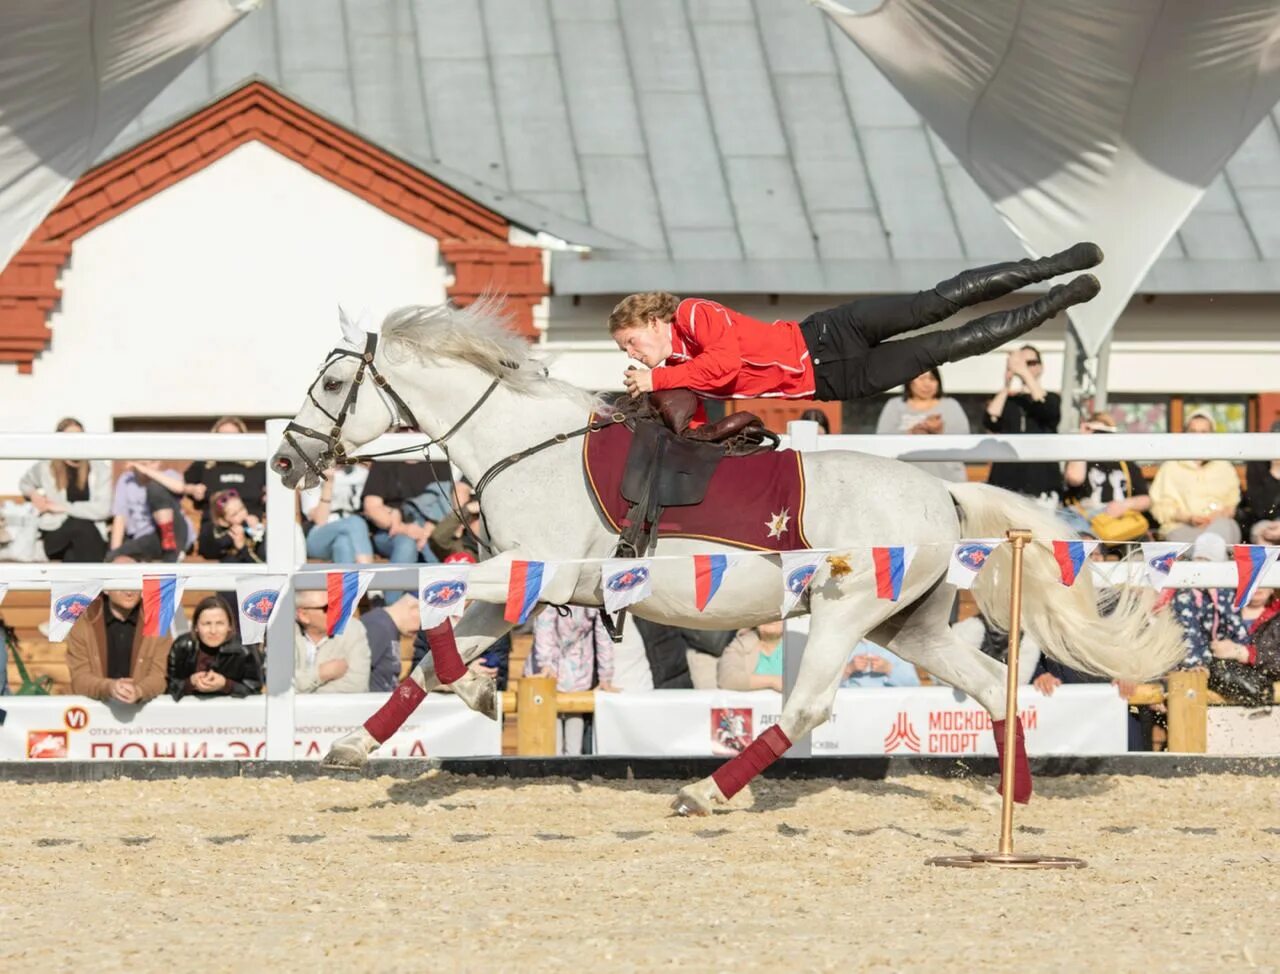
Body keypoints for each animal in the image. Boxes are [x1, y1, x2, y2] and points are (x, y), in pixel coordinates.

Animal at [270, 298, 1177, 814]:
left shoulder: (544, 571)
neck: (525, 443)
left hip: (847, 613)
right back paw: (1013, 795)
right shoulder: (526, 583)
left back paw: (707, 790)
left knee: (807, 707)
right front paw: (370, 737)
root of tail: (945, 496)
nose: (283, 461)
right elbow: (434, 651)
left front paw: (479, 691)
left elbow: (436, 598)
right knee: (993, 683)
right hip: (909, 627)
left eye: (330, 386)